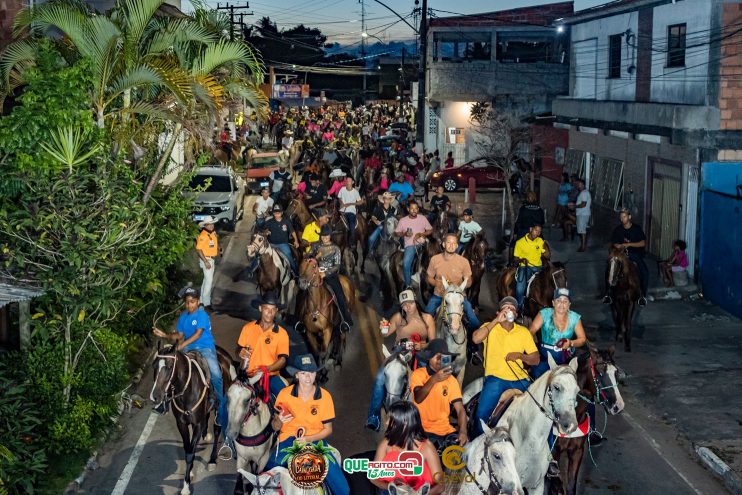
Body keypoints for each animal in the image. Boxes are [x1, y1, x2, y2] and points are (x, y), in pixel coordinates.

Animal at [149, 344, 235, 495]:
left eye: (169, 367)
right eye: (154, 365)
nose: (155, 396)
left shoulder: (197, 424)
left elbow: (190, 453)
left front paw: (186, 486)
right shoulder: (181, 424)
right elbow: (188, 448)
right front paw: (189, 473)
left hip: (220, 407)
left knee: (217, 429)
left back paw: (212, 460)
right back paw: (206, 435)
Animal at [548, 344, 624, 495]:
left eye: (615, 373)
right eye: (600, 373)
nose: (618, 405)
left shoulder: (577, 451)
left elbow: (571, 487)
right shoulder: (553, 451)